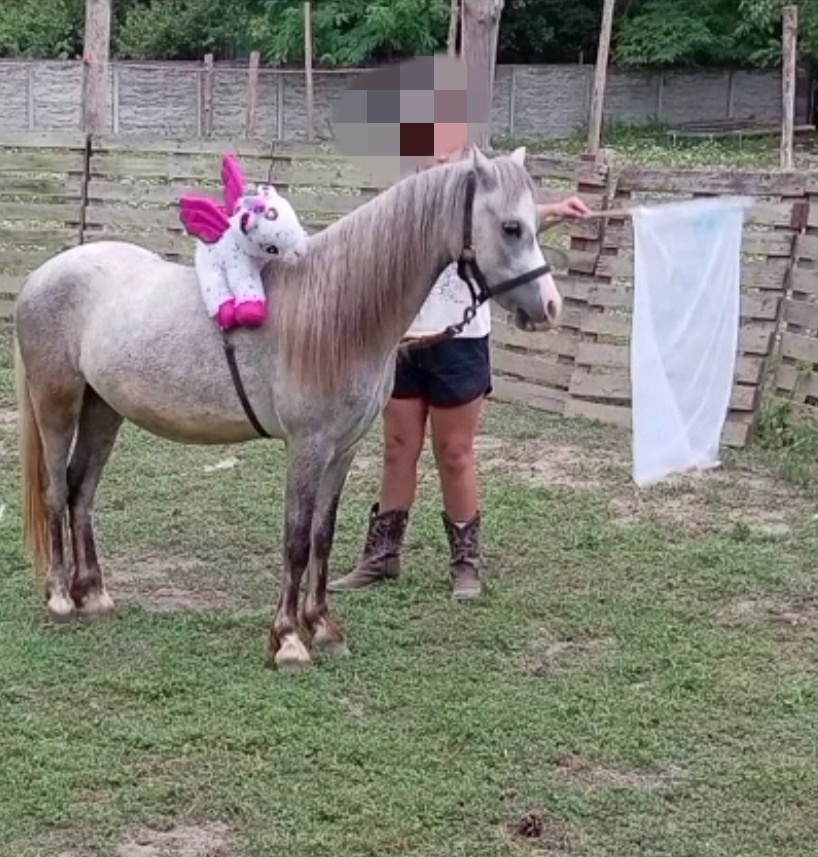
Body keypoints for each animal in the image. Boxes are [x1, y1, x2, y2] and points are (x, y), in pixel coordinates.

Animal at [14, 145, 563, 671]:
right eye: (511, 228)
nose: (551, 307)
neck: (339, 313)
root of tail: (40, 276)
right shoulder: (307, 447)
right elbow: (296, 540)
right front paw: (289, 641)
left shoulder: (342, 450)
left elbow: (322, 535)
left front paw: (322, 627)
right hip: (57, 403)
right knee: (56, 490)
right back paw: (60, 597)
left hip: (103, 409)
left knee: (82, 491)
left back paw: (94, 596)